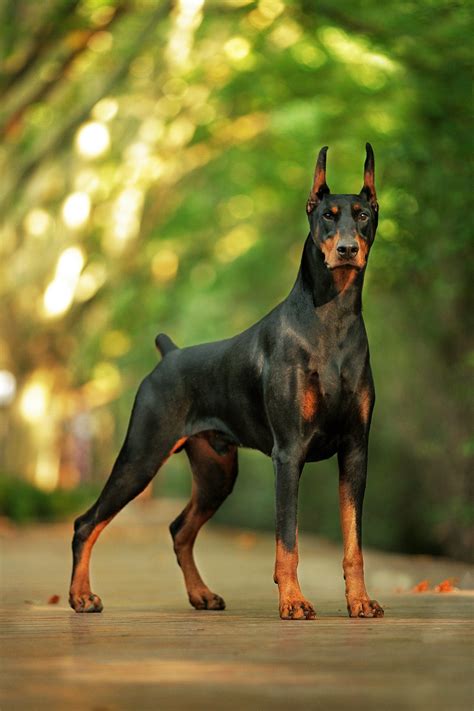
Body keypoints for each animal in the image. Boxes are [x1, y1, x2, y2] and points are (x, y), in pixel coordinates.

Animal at [68, 143, 384, 616]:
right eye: (327, 215)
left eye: (362, 215)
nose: (347, 250)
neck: (332, 319)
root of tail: (170, 353)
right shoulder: (289, 452)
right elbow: (287, 540)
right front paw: (293, 601)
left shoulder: (355, 450)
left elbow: (354, 542)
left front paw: (360, 601)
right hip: (142, 454)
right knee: (86, 522)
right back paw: (81, 596)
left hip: (216, 470)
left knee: (179, 528)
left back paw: (201, 593)